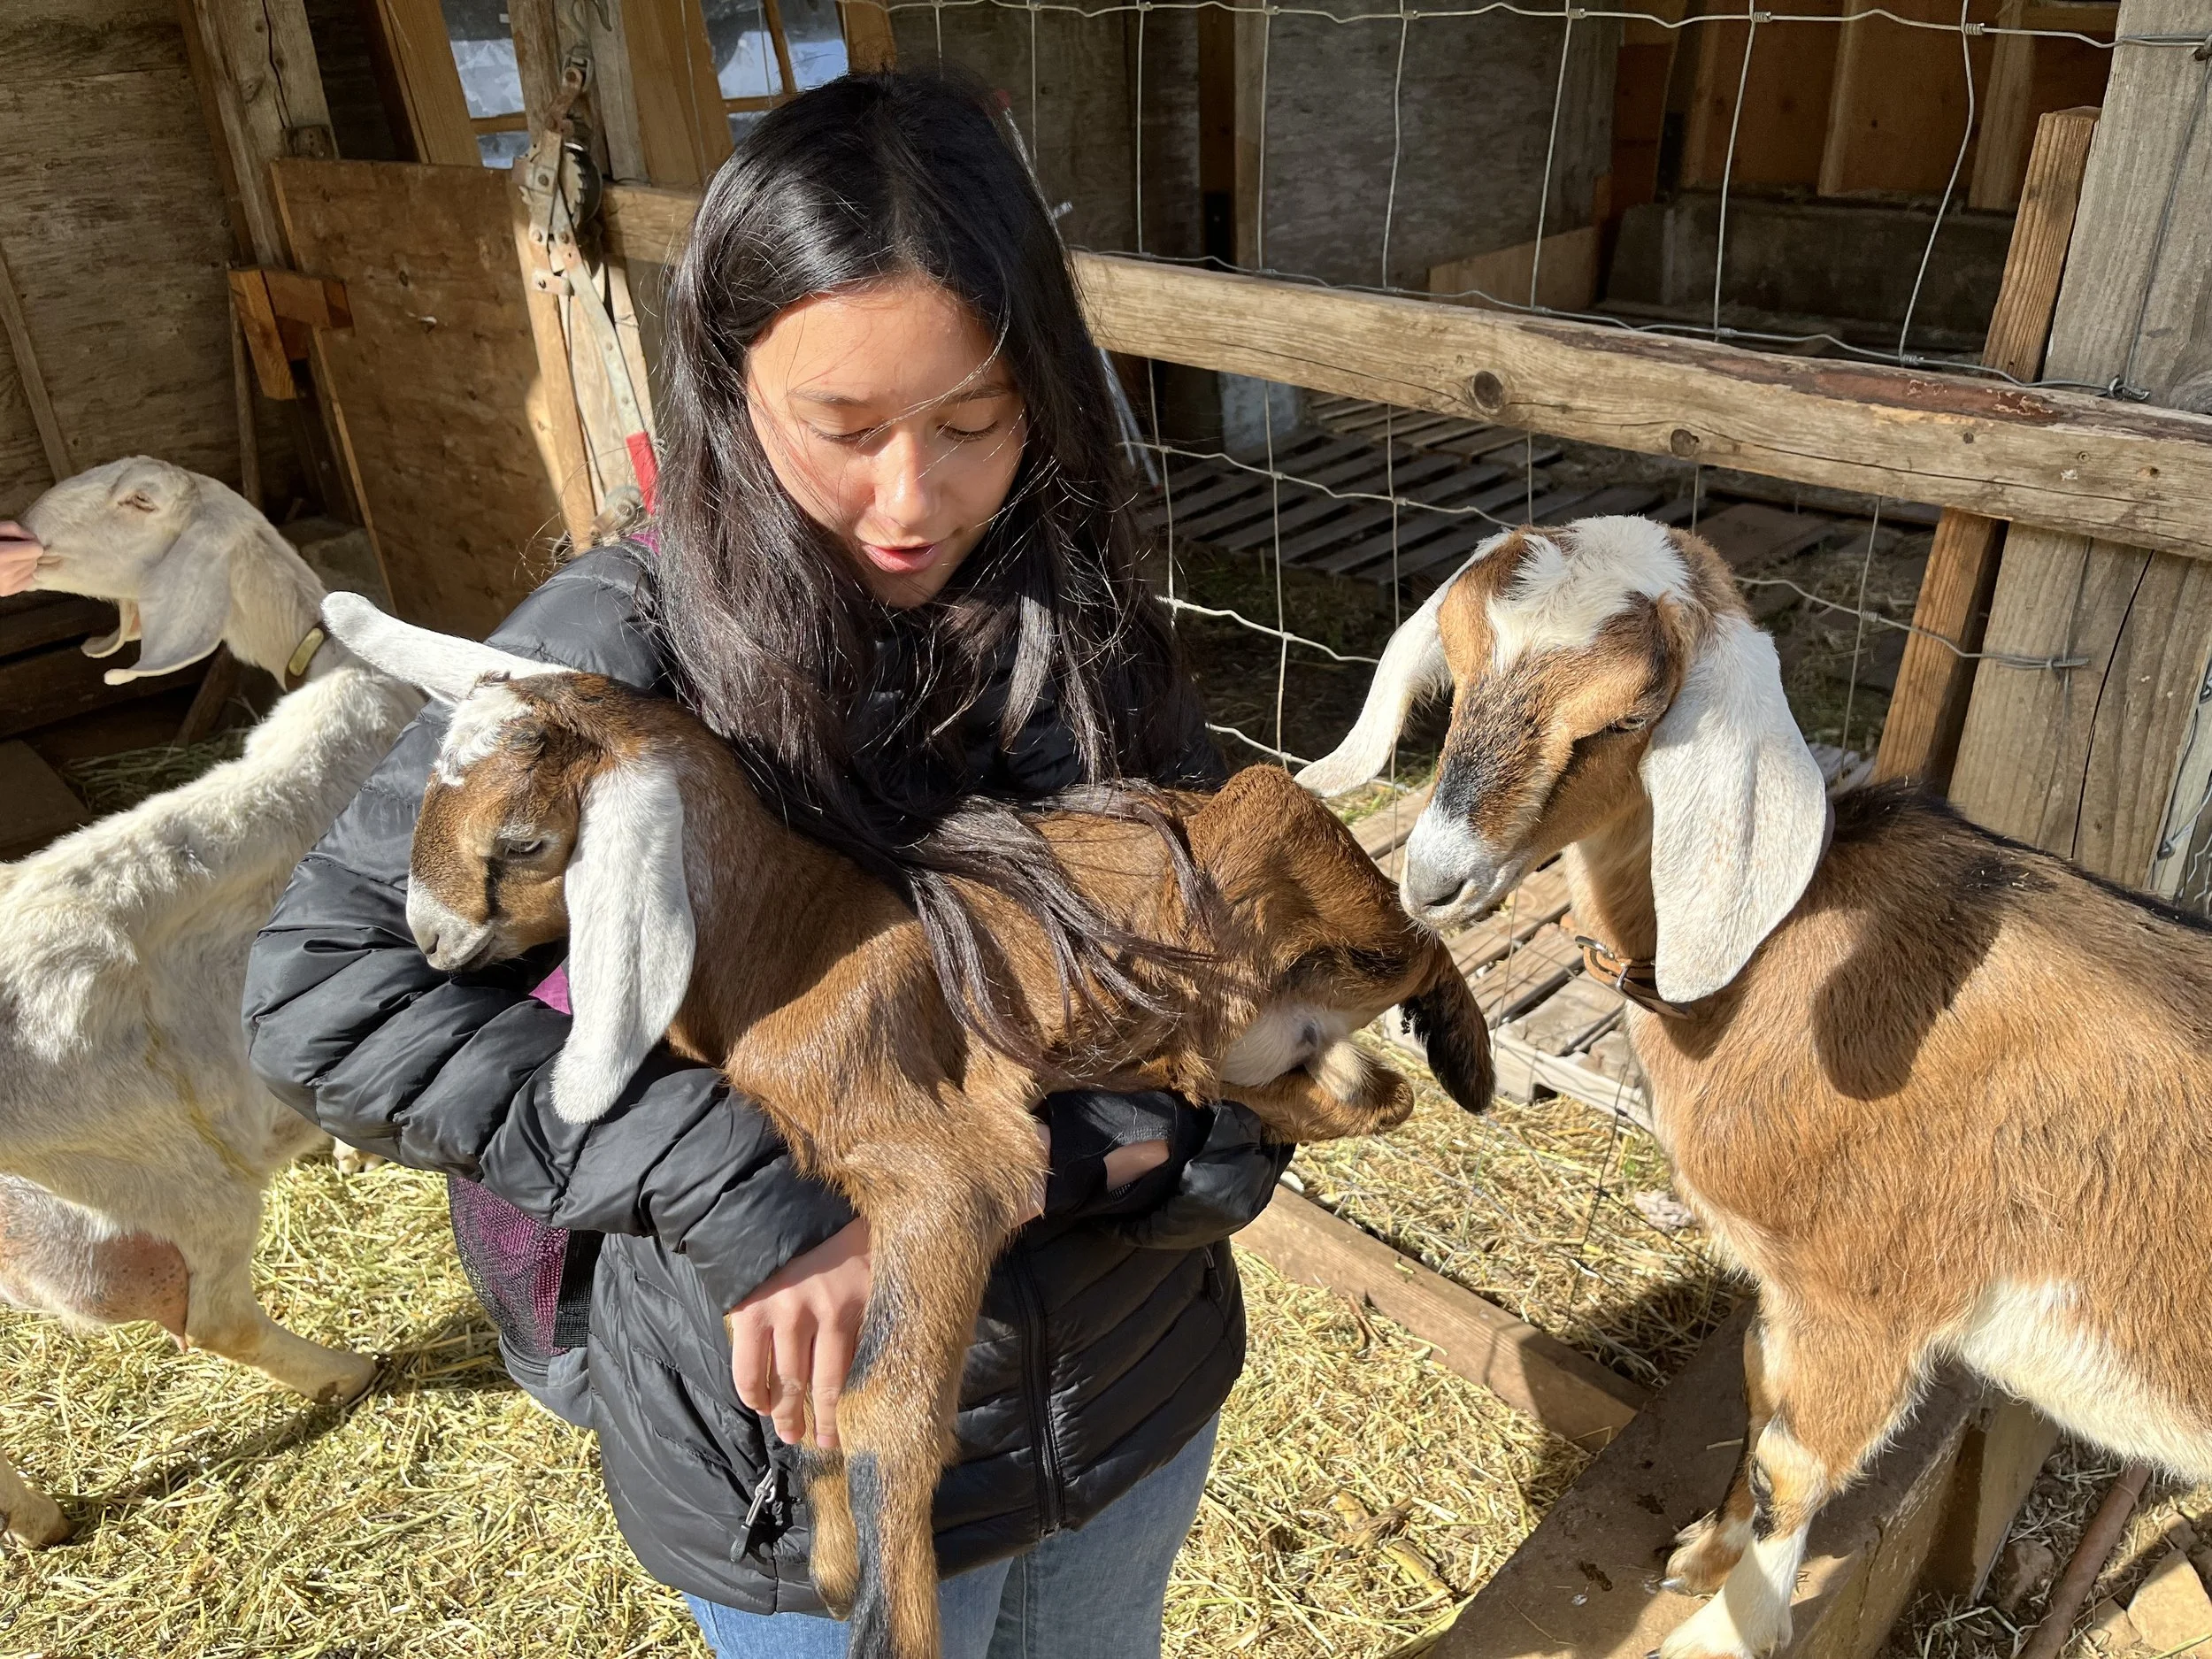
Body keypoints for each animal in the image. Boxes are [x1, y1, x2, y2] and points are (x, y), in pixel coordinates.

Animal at [0, 459, 420, 1548]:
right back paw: (348, 1371)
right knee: (219, 1314)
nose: (21, 529)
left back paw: (39, 1519)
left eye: (139, 501)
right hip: (168, 1177)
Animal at [1299, 513, 2212, 1659]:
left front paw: (1724, 1632)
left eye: (1628, 715)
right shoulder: (1782, 1287)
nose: (1433, 881)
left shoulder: (1866, 1300)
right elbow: (1753, 1390)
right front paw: (1702, 1555)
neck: (1783, 951)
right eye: (1456, 672)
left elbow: (1793, 1464)